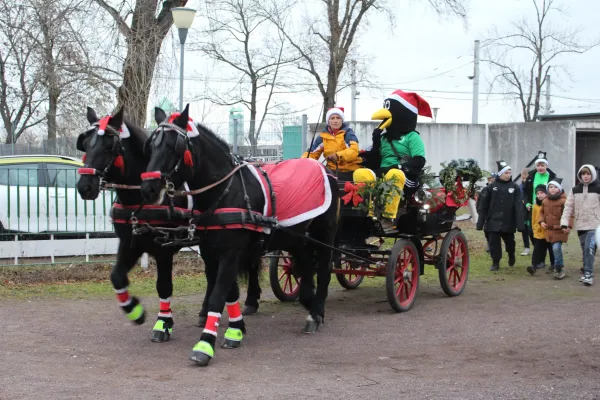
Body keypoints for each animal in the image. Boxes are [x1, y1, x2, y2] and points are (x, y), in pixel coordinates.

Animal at [75, 107, 262, 344]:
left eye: (109, 146)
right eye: (85, 144)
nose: (85, 187)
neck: (138, 199)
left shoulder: (163, 249)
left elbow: (163, 286)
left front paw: (163, 323)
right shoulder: (131, 242)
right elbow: (117, 277)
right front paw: (135, 311)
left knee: (250, 264)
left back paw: (251, 301)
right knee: (212, 272)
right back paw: (205, 313)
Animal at [138, 105, 340, 366]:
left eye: (175, 146)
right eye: (151, 146)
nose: (148, 189)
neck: (225, 190)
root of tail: (325, 169)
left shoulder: (231, 253)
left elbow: (218, 294)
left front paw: (205, 344)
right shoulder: (211, 252)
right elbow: (229, 291)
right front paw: (236, 330)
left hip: (324, 232)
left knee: (324, 269)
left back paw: (315, 313)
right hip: (296, 236)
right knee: (304, 263)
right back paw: (308, 299)